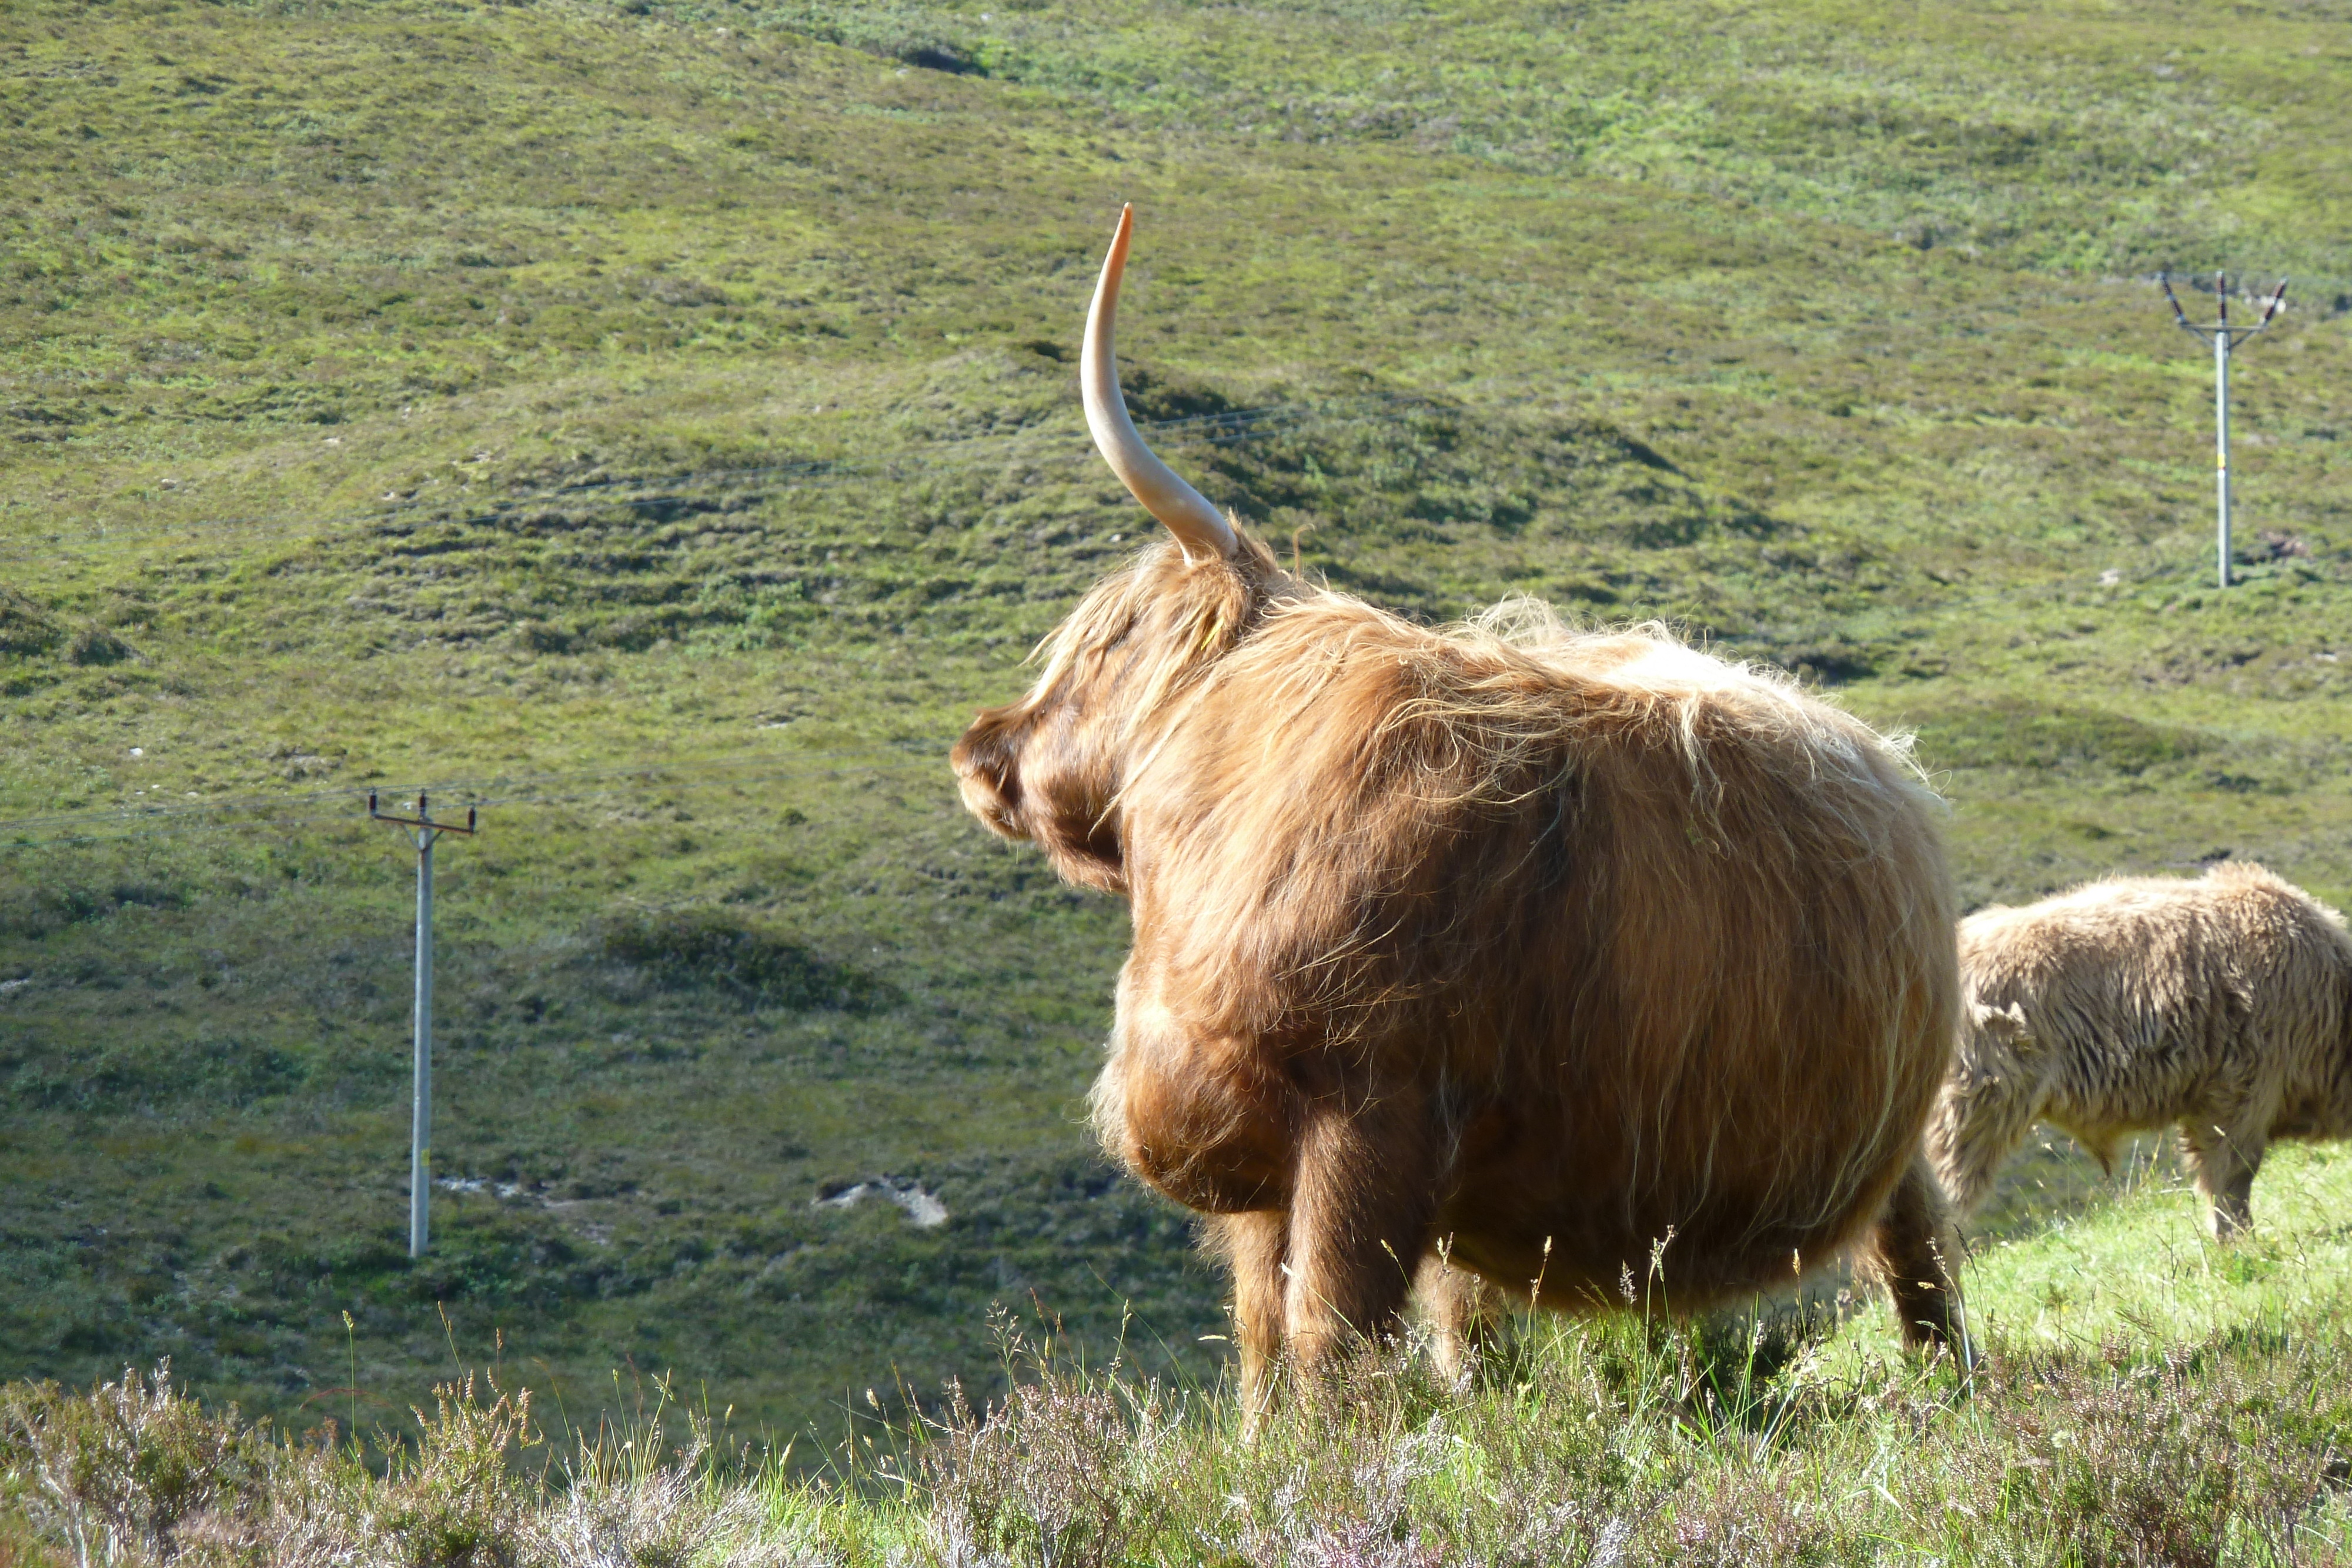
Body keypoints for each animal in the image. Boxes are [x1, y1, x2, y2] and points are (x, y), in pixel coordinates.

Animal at [950, 202, 1966, 1420]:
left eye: (1103, 643)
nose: (982, 751)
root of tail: (1889, 767)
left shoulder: (1371, 1117)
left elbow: (1329, 1335)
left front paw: (1329, 1457)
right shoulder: (1259, 1155)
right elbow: (1259, 1335)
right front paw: (1260, 1453)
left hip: (1892, 1141)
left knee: (1924, 1253)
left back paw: (1949, 1391)